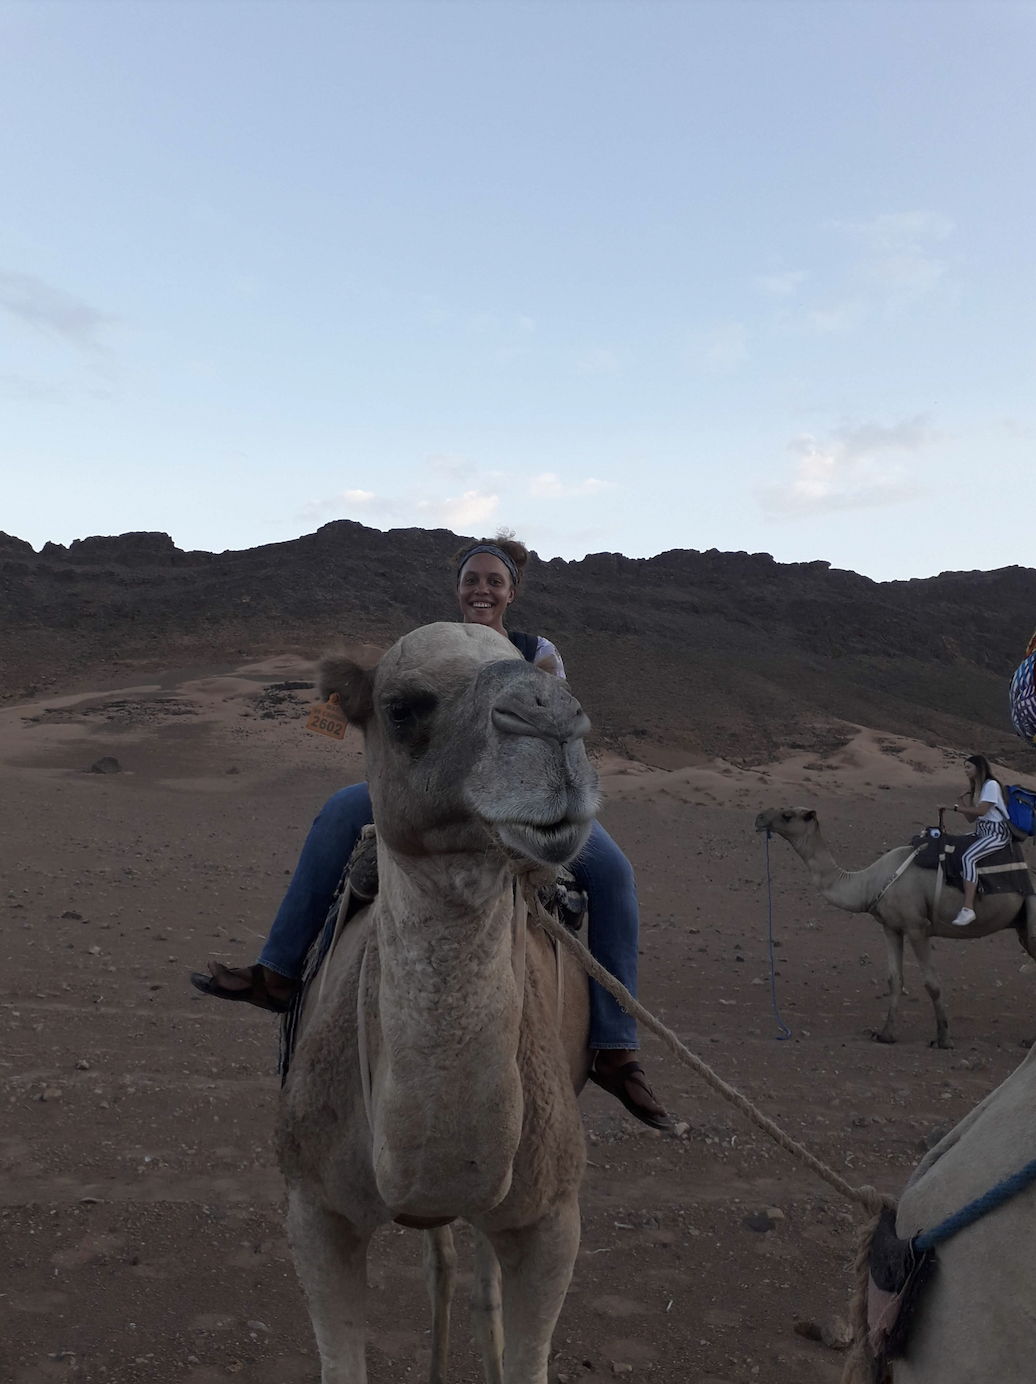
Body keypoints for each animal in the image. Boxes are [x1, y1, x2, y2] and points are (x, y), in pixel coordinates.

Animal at [276, 628, 597, 1384]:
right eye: (402, 708)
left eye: (547, 675)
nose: (554, 719)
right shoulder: (314, 1209)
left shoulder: (552, 1220)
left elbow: (525, 1352)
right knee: (443, 1265)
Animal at [752, 808, 1034, 1040]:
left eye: (788, 815)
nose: (759, 817)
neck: (869, 882)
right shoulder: (891, 927)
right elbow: (895, 980)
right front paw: (886, 1034)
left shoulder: (917, 927)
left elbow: (932, 983)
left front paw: (943, 1038)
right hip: (1022, 927)